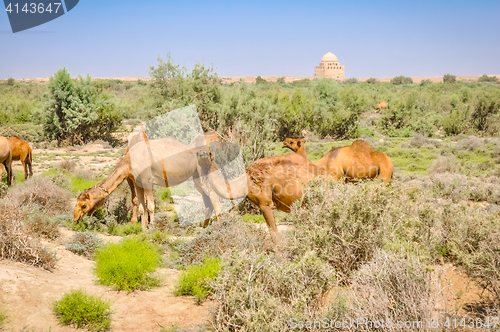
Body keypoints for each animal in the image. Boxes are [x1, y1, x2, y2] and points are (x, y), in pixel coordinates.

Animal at [73, 134, 222, 230]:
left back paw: (218, 227)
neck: (129, 161)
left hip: (201, 171)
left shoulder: (147, 180)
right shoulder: (137, 182)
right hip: (196, 175)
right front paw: (143, 227)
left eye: (84, 205)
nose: (75, 218)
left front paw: (152, 227)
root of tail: (208, 154)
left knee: (213, 196)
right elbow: (141, 206)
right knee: (208, 199)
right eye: (77, 202)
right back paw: (204, 228)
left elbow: (150, 206)